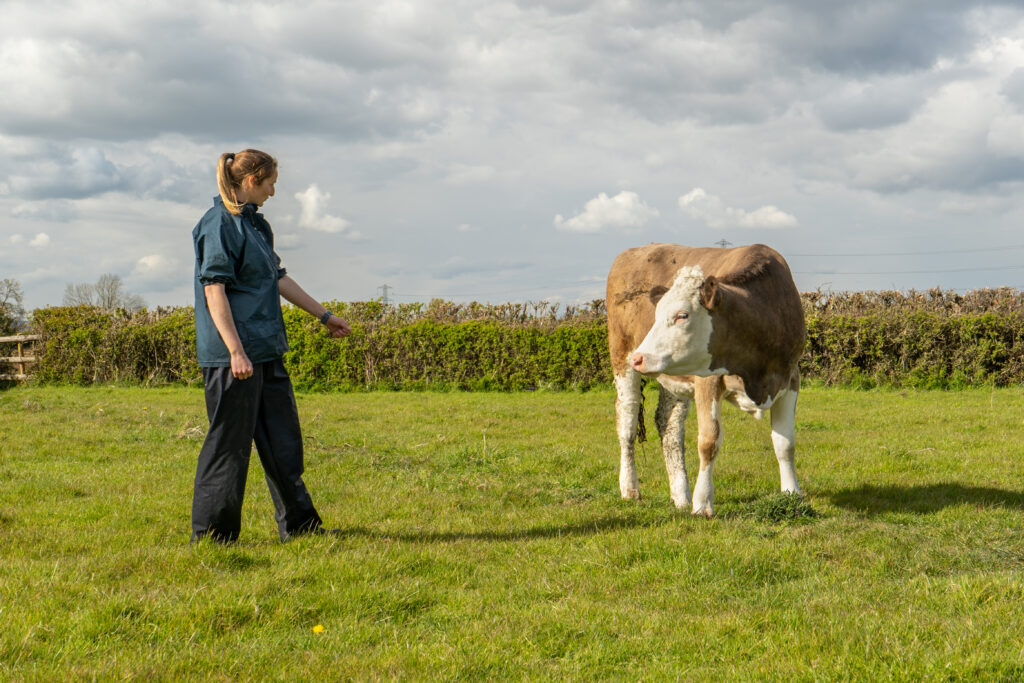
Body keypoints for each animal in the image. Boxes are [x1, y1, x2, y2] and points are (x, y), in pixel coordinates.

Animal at [606, 243, 806, 516]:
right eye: (656, 314)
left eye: (682, 315)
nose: (640, 357)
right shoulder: (707, 381)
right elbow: (709, 442)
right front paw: (702, 503)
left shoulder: (791, 378)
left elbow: (785, 442)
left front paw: (791, 492)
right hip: (621, 360)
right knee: (627, 424)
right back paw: (630, 489)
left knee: (669, 427)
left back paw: (680, 495)